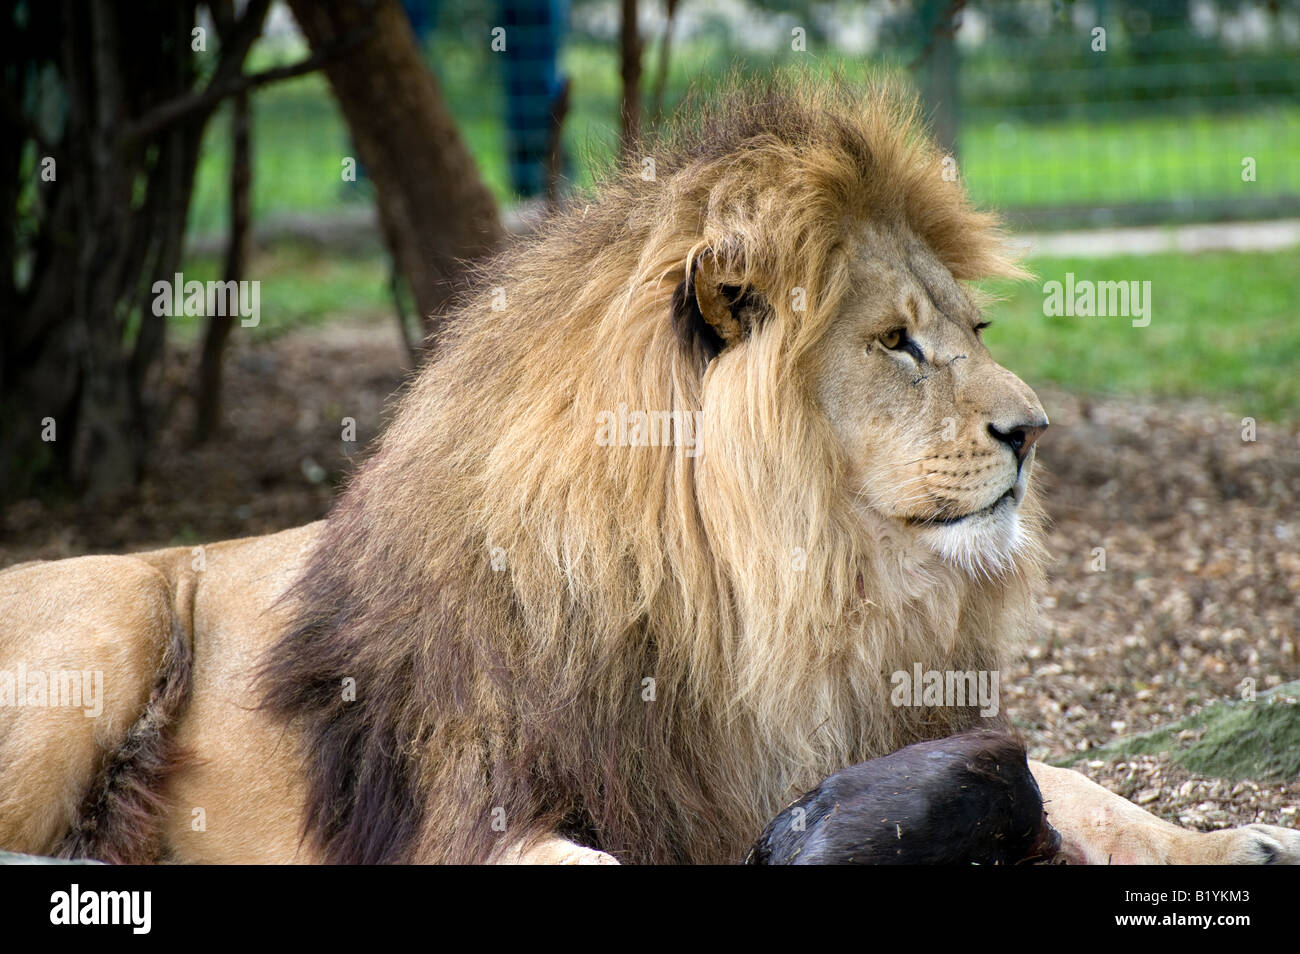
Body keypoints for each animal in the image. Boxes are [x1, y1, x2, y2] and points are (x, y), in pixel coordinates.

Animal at [2, 76, 1300, 868]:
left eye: (972, 330)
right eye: (895, 341)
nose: (1033, 434)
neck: (773, 595)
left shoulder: (846, 743)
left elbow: (1075, 779)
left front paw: (1228, 844)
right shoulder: (474, 816)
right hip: (114, 616)